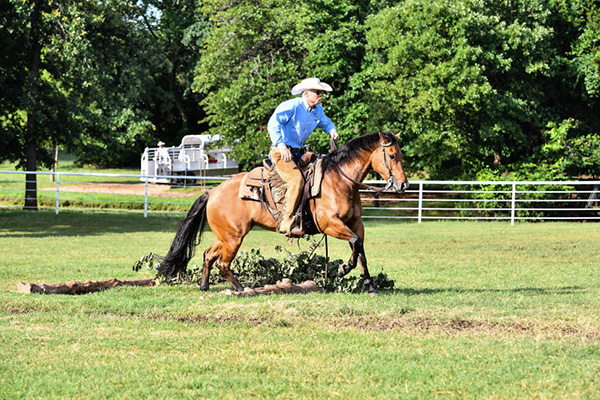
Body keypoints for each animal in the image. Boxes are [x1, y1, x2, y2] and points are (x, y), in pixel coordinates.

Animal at [157, 131, 410, 294]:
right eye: (392, 156)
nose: (403, 185)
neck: (340, 180)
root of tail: (212, 192)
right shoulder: (331, 224)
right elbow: (356, 245)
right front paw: (342, 269)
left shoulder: (356, 224)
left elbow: (360, 251)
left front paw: (369, 285)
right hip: (233, 238)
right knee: (223, 263)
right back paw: (240, 288)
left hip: (226, 236)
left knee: (208, 255)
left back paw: (205, 286)